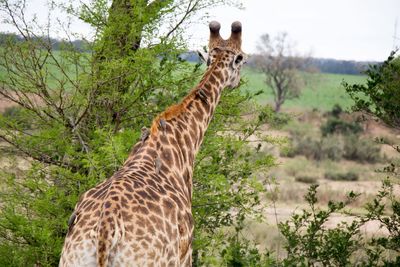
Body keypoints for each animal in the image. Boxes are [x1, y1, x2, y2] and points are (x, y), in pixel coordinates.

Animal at [59, 21, 245, 267]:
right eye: (242, 59)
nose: (237, 83)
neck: (182, 142)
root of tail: (106, 230)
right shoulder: (186, 256)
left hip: (71, 257)